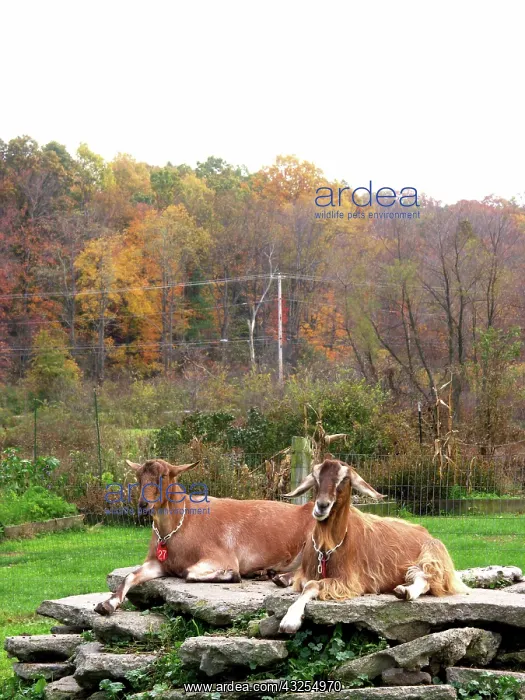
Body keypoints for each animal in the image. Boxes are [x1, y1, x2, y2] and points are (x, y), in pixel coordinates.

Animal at [95, 459, 314, 615]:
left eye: (164, 475)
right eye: (138, 476)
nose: (143, 505)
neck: (182, 524)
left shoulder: (221, 556)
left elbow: (188, 573)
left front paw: (232, 575)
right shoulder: (158, 562)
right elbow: (130, 576)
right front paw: (107, 604)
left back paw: (281, 578)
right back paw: (265, 573)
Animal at [278, 458, 469, 633]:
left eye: (344, 479)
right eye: (315, 477)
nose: (322, 506)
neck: (327, 548)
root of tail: (425, 531)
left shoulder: (349, 581)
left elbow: (312, 585)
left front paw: (290, 620)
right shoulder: (305, 575)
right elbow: (306, 583)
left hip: (433, 550)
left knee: (426, 577)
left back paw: (406, 592)